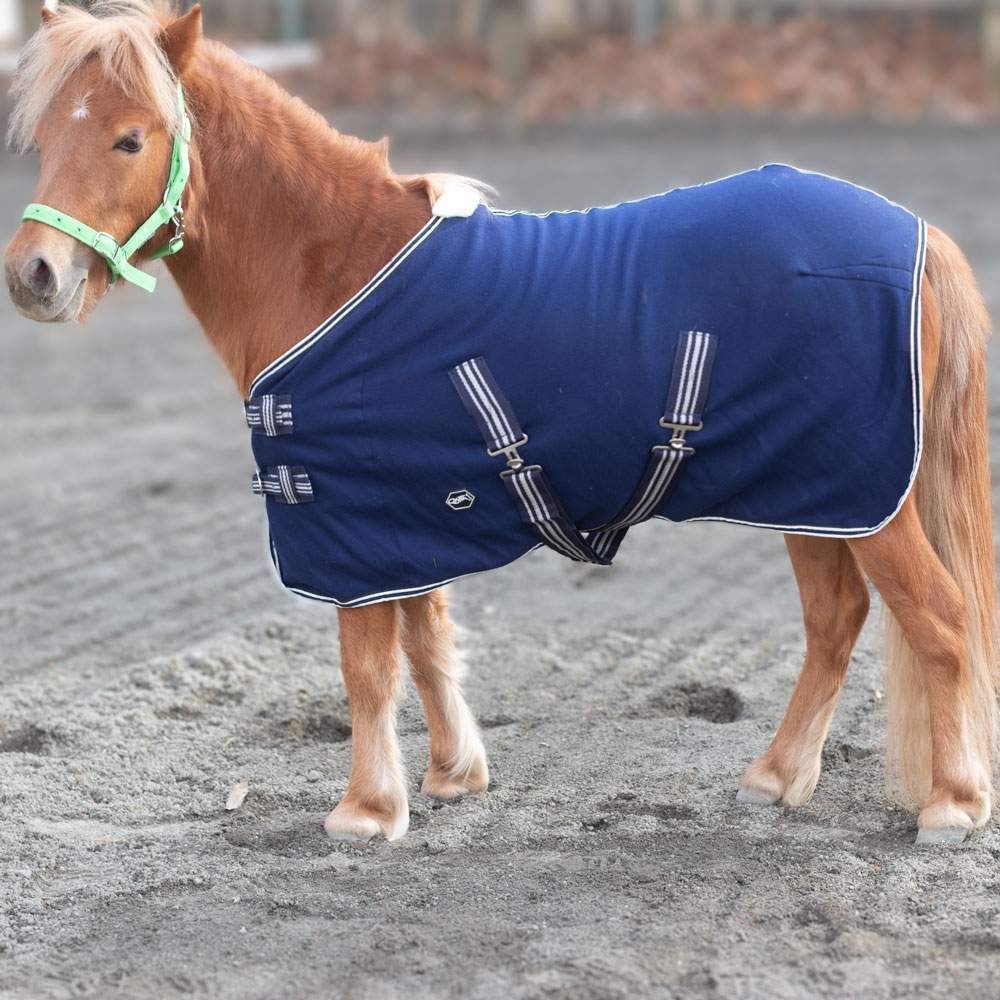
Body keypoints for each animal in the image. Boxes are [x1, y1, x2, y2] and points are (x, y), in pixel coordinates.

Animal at [3, 1, 996, 846]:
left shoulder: (349, 523)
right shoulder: (399, 513)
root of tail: (918, 236)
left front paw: (365, 811)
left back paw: (952, 803)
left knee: (939, 618)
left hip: (865, 497)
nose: (33, 275)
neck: (335, 269)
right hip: (817, 492)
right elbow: (424, 640)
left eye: (131, 137)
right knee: (837, 620)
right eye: (44, 138)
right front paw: (450, 777)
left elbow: (367, 664)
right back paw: (777, 776)